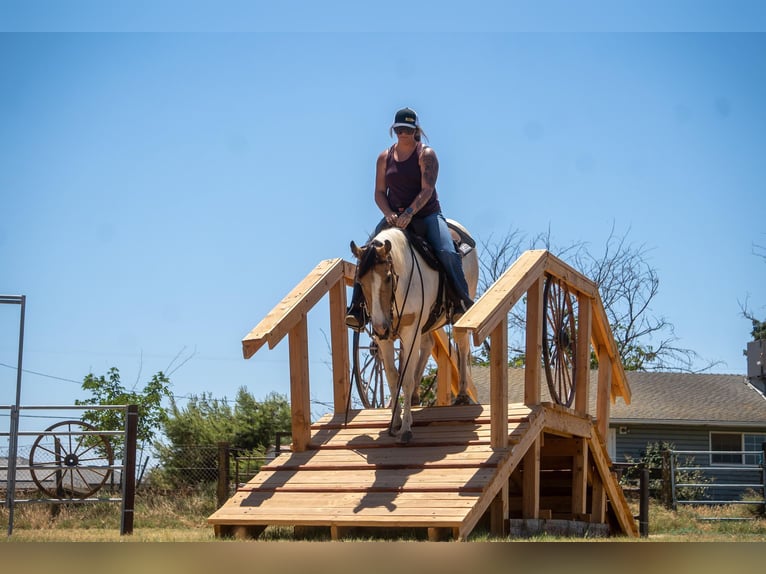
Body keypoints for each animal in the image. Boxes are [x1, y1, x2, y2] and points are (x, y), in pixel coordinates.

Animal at [350, 220, 480, 446]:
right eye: (360, 280)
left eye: (388, 277)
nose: (380, 327)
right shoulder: (385, 338)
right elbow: (393, 377)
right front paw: (395, 422)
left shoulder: (410, 331)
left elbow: (407, 379)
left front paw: (405, 430)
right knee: (428, 345)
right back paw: (417, 396)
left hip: (458, 314)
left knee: (462, 346)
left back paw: (462, 395)